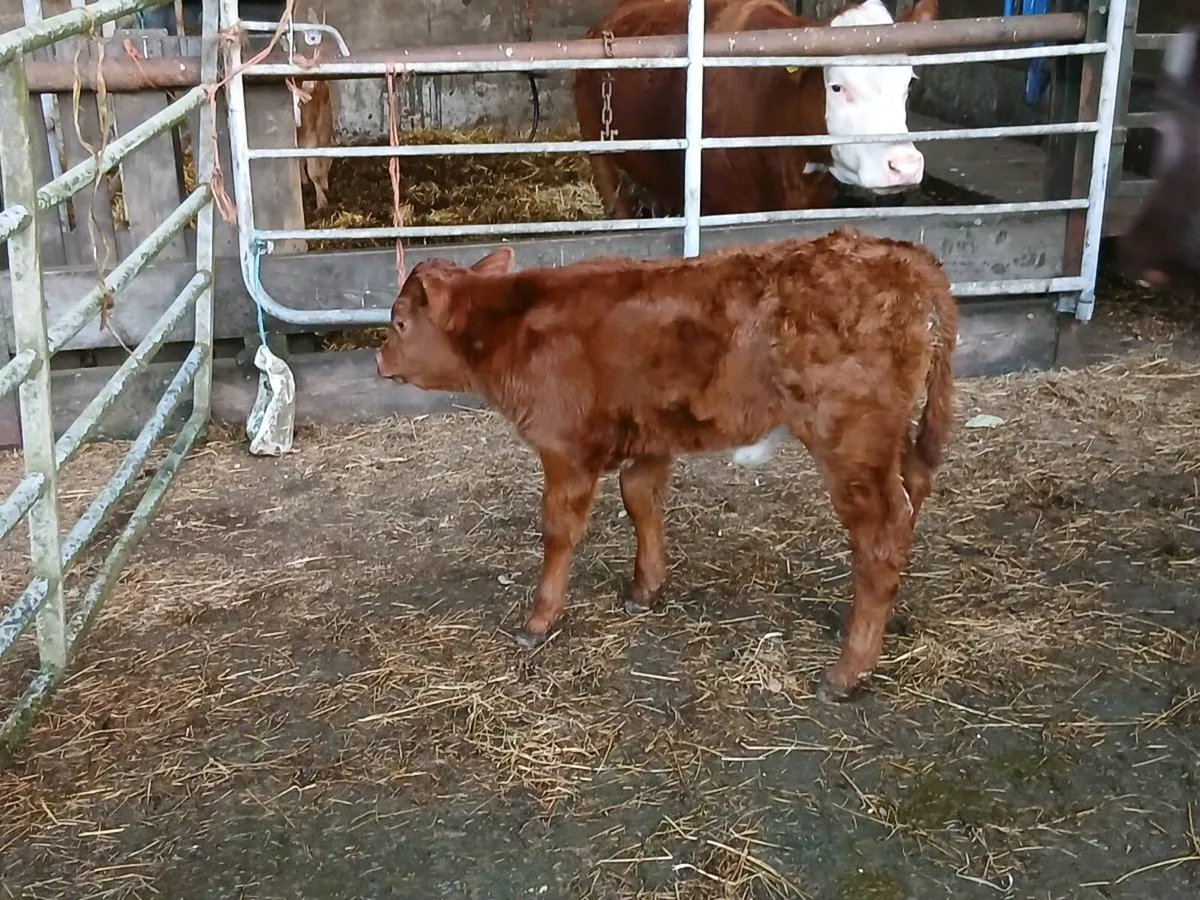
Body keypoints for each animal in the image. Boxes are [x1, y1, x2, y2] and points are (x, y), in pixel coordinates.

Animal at [374, 229, 958, 701]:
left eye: (399, 322)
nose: (378, 359)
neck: (514, 326)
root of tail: (899, 255)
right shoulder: (651, 435)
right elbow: (640, 498)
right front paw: (645, 587)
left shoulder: (565, 449)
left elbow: (559, 530)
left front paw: (539, 619)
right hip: (890, 434)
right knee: (912, 492)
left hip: (851, 439)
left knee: (881, 535)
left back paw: (847, 671)